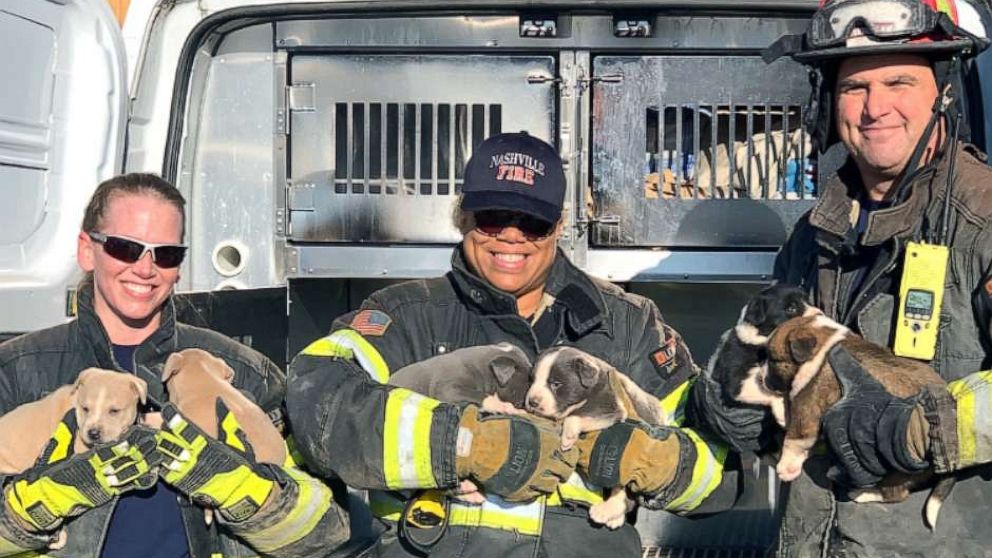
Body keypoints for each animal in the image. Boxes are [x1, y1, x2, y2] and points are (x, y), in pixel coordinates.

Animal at [524, 348, 664, 532]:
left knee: (625, 494)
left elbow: (576, 417)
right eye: (532, 380)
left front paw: (568, 437)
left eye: (556, 384)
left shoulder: (610, 408)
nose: (532, 402)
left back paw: (606, 512)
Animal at [704, 286, 820, 426]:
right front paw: (783, 414)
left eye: (809, 301)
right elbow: (768, 391)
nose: (821, 315)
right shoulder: (738, 381)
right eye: (791, 308)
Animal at [764, 318, 948, 532]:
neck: (825, 345)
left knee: (895, 494)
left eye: (772, 360)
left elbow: (794, 440)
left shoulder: (807, 407)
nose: (762, 378)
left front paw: (785, 467)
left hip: (894, 466)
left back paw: (862, 493)